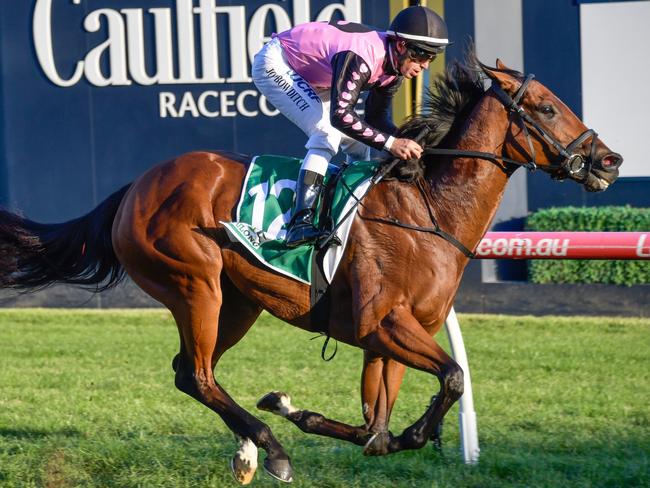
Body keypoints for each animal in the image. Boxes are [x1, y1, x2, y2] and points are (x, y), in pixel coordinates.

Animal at [0, 57, 616, 484]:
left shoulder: (391, 337)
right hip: (195, 283)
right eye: (545, 107)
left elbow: (375, 430)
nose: (610, 160)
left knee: (192, 370)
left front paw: (300, 409)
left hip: (237, 302)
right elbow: (452, 377)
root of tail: (135, 186)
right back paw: (270, 450)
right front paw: (412, 427)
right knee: (195, 374)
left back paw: (248, 450)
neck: (428, 213)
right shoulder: (381, 325)